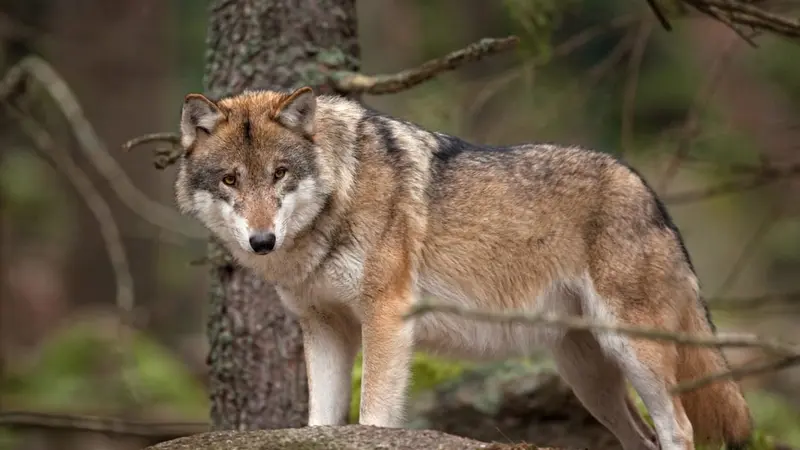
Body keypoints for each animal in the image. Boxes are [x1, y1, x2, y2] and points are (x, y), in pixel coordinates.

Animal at [174, 86, 753, 450]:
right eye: (230, 180)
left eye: (279, 174)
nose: (262, 241)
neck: (340, 195)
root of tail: (649, 193)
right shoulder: (323, 326)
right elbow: (321, 423)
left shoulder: (386, 315)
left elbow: (374, 415)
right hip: (589, 379)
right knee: (643, 438)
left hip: (633, 351)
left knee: (678, 428)